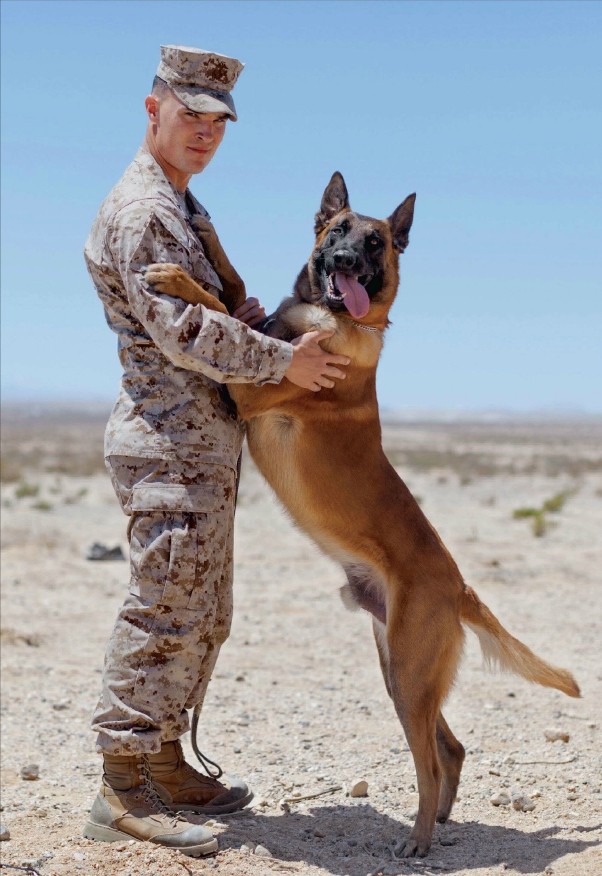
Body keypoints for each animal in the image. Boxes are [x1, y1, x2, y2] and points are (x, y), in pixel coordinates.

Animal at [144, 171, 576, 856]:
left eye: (377, 244)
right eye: (336, 231)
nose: (345, 260)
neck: (332, 317)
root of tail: (460, 585)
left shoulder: (247, 389)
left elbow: (219, 308)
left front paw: (180, 278)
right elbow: (235, 289)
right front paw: (206, 234)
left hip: (410, 672)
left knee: (428, 761)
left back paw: (419, 838)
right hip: (400, 671)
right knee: (452, 749)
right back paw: (443, 820)